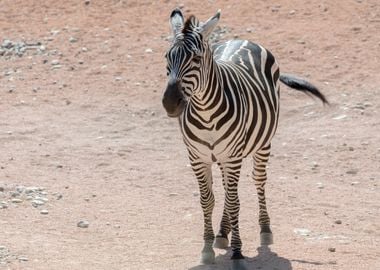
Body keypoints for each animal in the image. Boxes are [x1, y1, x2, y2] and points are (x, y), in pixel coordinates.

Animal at [162, 8, 328, 268]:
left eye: (196, 59)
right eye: (167, 58)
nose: (170, 103)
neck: (206, 113)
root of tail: (243, 40)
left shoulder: (232, 157)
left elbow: (234, 202)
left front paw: (238, 252)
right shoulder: (198, 158)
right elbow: (207, 200)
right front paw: (207, 248)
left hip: (261, 145)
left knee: (258, 181)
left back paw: (265, 229)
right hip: (223, 156)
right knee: (226, 188)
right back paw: (222, 233)